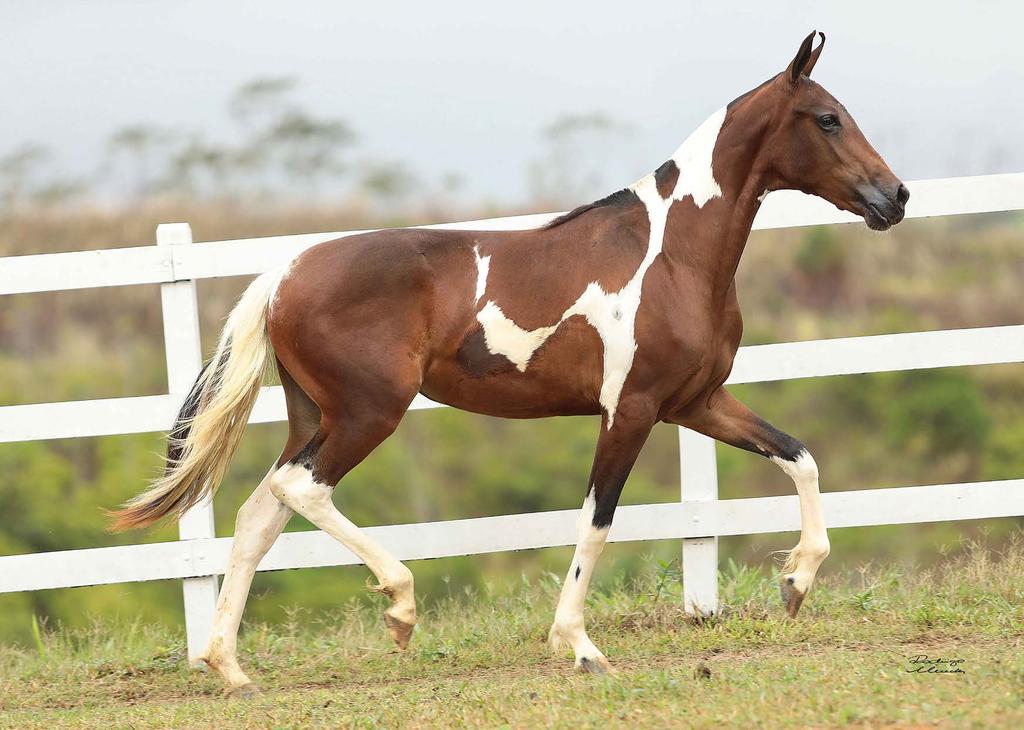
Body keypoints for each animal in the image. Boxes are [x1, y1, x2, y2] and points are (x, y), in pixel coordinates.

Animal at [112, 31, 909, 692]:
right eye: (828, 118)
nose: (895, 197)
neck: (672, 253)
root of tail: (283, 272)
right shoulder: (631, 409)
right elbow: (597, 519)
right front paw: (579, 647)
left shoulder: (696, 402)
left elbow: (799, 456)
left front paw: (796, 583)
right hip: (371, 412)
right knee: (300, 489)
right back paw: (399, 607)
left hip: (316, 416)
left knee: (259, 511)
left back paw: (230, 668)